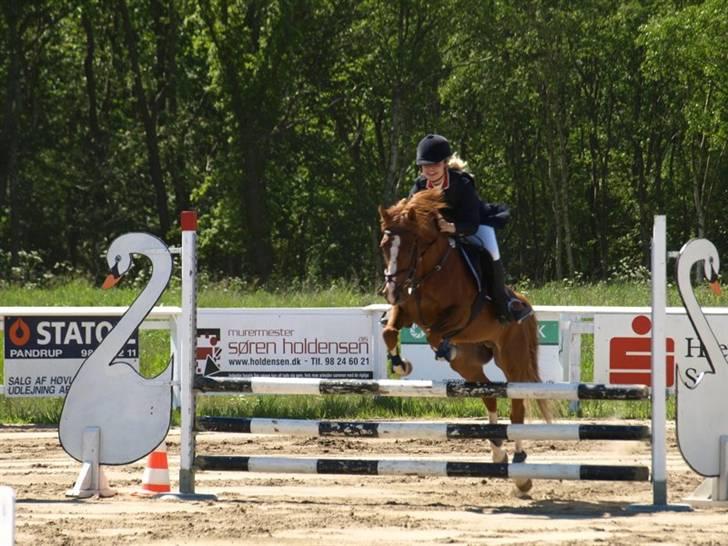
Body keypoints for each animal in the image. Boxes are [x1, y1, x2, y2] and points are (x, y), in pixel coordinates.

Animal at [378, 187, 548, 492]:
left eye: (409, 246)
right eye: (384, 246)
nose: (390, 291)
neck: (429, 271)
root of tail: (525, 303)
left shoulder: (462, 313)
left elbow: (434, 333)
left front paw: (443, 348)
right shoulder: (405, 310)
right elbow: (389, 331)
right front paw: (400, 365)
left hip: (513, 360)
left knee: (517, 407)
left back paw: (521, 471)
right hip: (470, 365)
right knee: (489, 394)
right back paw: (498, 452)